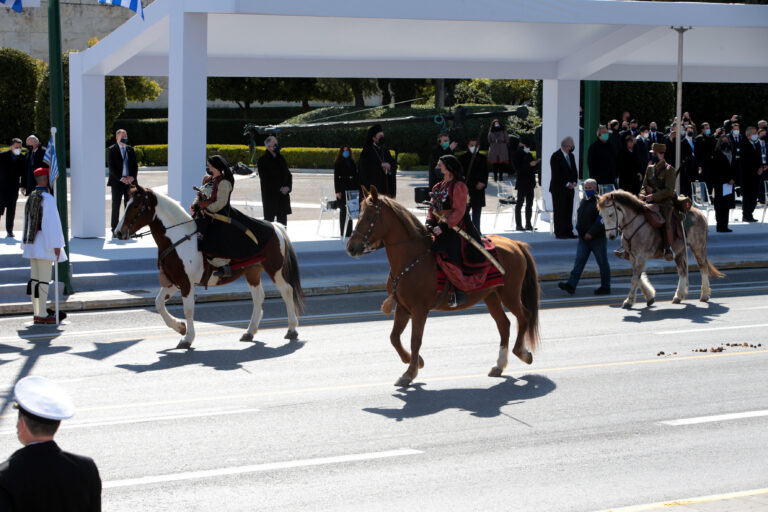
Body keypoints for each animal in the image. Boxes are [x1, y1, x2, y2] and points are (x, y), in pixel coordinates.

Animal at [115, 184, 304, 348]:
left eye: (136, 205)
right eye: (128, 203)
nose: (117, 232)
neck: (177, 239)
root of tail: (275, 226)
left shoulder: (186, 283)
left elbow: (188, 309)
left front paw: (188, 338)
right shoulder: (173, 281)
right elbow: (159, 303)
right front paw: (180, 327)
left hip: (275, 269)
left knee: (287, 291)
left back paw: (292, 329)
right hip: (252, 272)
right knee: (258, 297)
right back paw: (249, 332)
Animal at [348, 186, 540, 386]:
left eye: (369, 217)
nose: (351, 247)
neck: (410, 259)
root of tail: (515, 243)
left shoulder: (419, 309)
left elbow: (415, 340)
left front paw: (410, 373)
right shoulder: (402, 307)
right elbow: (394, 337)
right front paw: (415, 362)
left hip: (510, 294)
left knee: (524, 316)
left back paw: (523, 353)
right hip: (491, 296)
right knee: (504, 324)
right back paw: (499, 365)